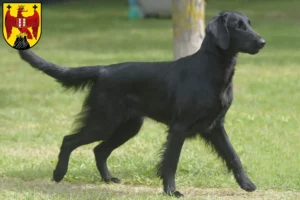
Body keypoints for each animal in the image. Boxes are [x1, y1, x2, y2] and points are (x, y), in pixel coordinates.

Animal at [18, 10, 264, 197]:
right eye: (238, 27)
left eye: (249, 24)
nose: (262, 42)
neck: (212, 70)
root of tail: (104, 70)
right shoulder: (180, 127)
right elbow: (171, 161)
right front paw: (171, 191)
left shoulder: (215, 126)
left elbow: (233, 156)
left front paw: (247, 185)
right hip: (104, 121)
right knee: (69, 140)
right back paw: (58, 174)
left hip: (128, 126)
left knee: (99, 150)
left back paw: (108, 179)